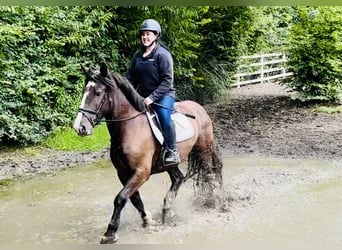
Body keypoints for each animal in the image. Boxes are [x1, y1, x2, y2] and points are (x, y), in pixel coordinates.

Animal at [73, 63, 223, 244]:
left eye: (98, 93)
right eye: (84, 91)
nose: (80, 127)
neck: (130, 129)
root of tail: (199, 107)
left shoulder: (141, 172)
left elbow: (120, 198)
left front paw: (110, 232)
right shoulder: (123, 173)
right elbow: (134, 198)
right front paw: (148, 220)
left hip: (204, 150)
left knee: (209, 174)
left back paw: (214, 202)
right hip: (170, 163)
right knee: (178, 178)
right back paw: (167, 209)